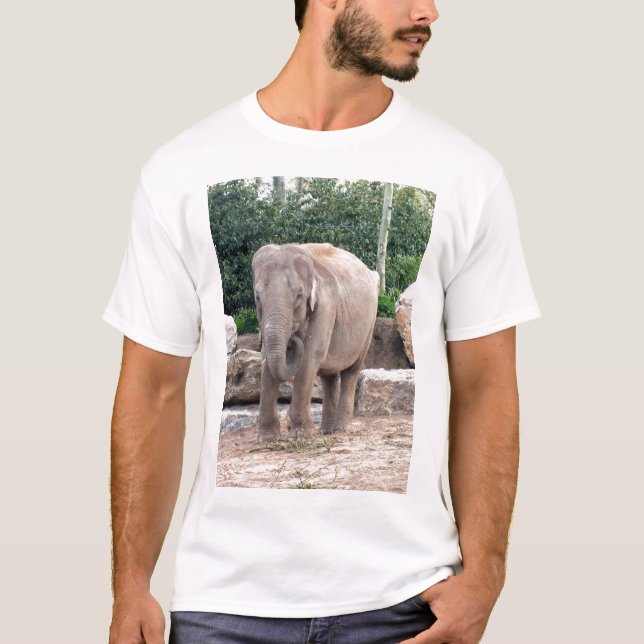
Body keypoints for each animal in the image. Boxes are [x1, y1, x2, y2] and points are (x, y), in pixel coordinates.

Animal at [251, 242, 380, 443]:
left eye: (299, 295)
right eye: (257, 296)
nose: (293, 340)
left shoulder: (326, 306)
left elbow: (310, 358)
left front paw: (300, 436)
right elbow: (266, 361)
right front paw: (267, 439)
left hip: (368, 326)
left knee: (351, 371)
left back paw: (341, 430)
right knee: (329, 376)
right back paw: (325, 431)